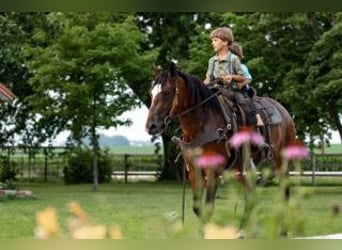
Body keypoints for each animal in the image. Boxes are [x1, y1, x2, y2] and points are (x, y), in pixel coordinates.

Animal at [144, 63, 296, 223]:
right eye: (151, 93)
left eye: (167, 93)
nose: (151, 126)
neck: (202, 123)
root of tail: (284, 112)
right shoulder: (194, 170)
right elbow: (198, 208)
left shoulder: (212, 170)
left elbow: (208, 207)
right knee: (250, 197)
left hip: (282, 161)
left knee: (284, 193)